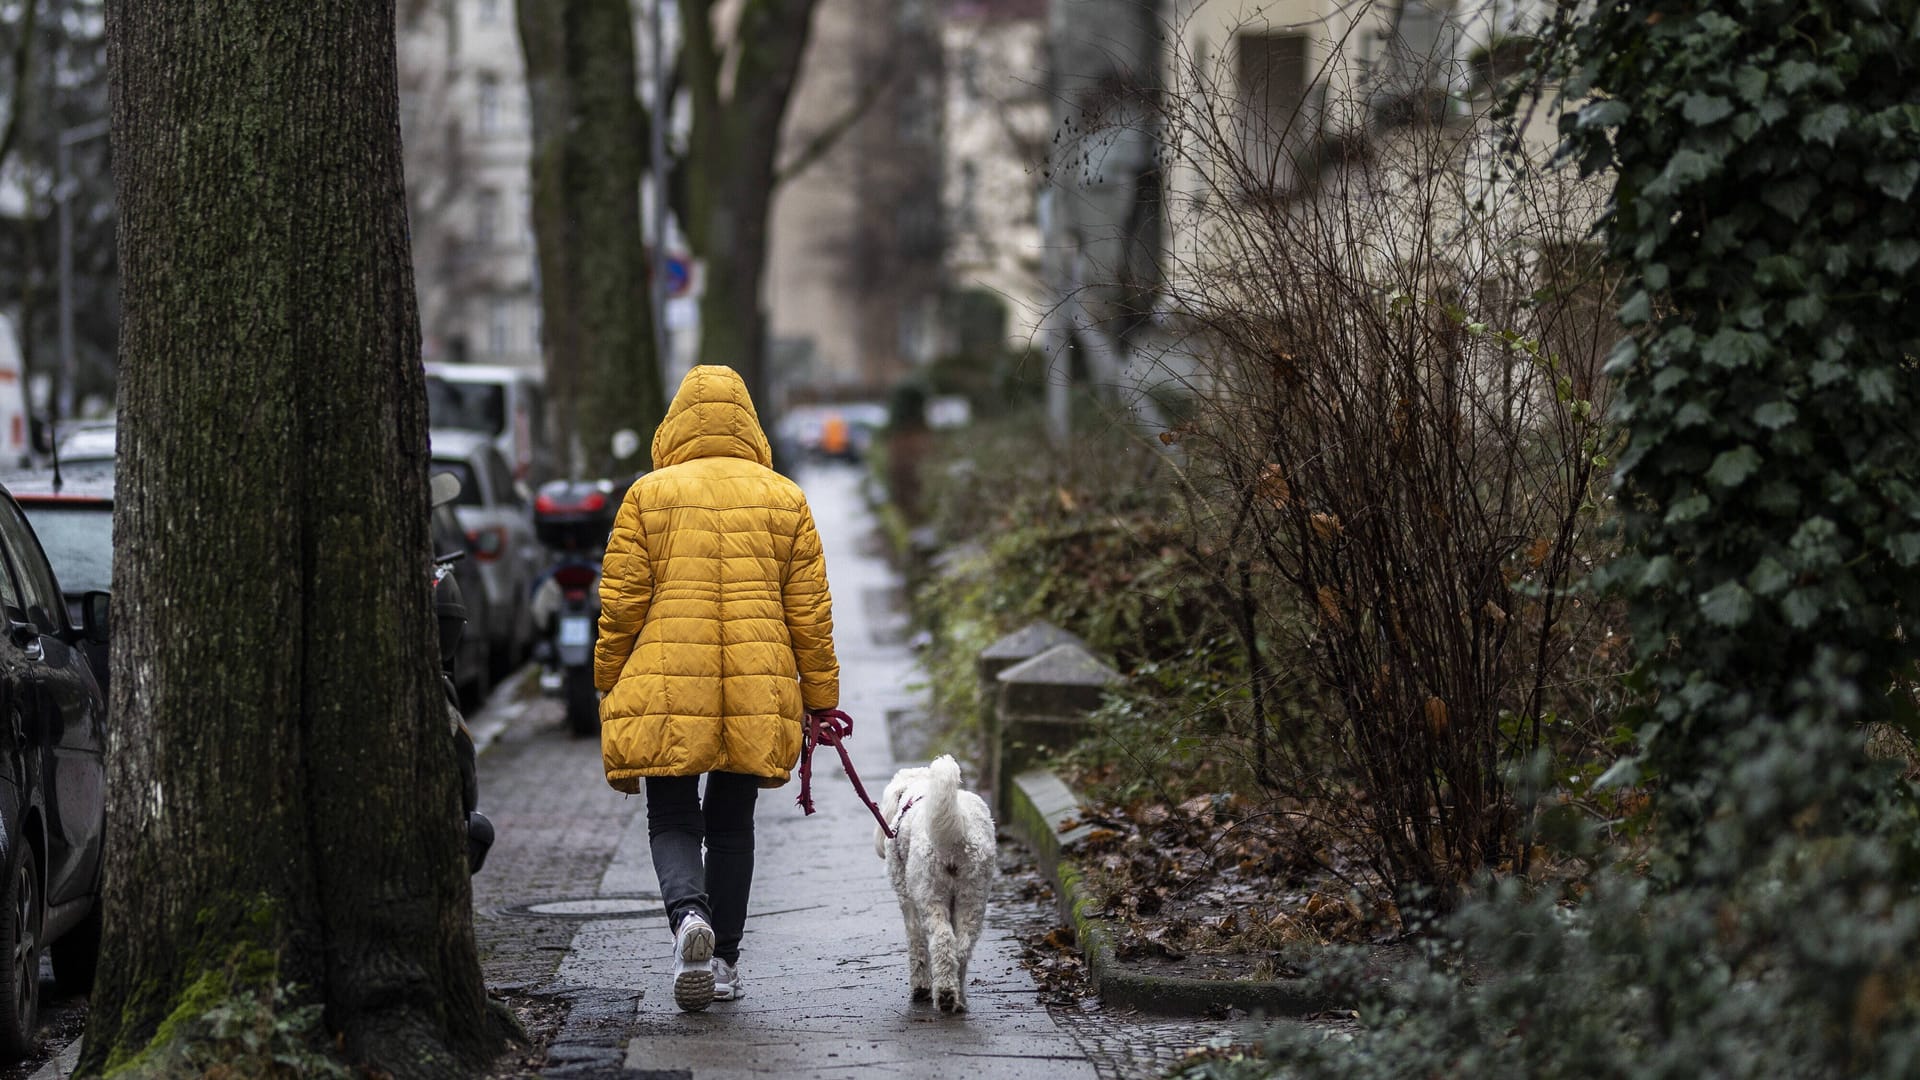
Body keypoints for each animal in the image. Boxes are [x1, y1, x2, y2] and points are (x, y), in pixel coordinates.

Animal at [879, 749, 998, 1006]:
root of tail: (958, 836)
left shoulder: (907, 899)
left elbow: (917, 945)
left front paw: (920, 987)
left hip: (929, 892)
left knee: (942, 939)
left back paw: (943, 994)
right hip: (973, 894)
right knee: (961, 946)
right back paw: (958, 996)